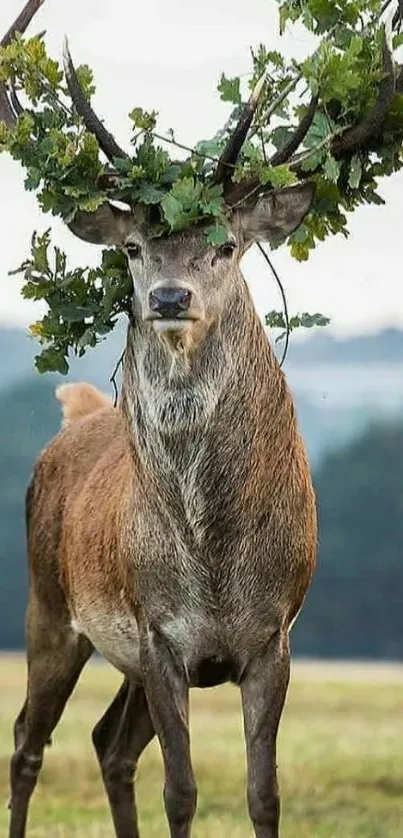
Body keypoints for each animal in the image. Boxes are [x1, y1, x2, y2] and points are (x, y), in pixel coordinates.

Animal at [0, 1, 398, 838]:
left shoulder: (271, 637)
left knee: (107, 741)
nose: (169, 297)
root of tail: (76, 415)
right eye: (135, 246)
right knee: (28, 738)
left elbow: (262, 792)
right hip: (48, 604)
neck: (210, 555)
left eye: (224, 244)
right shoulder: (158, 635)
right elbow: (181, 790)